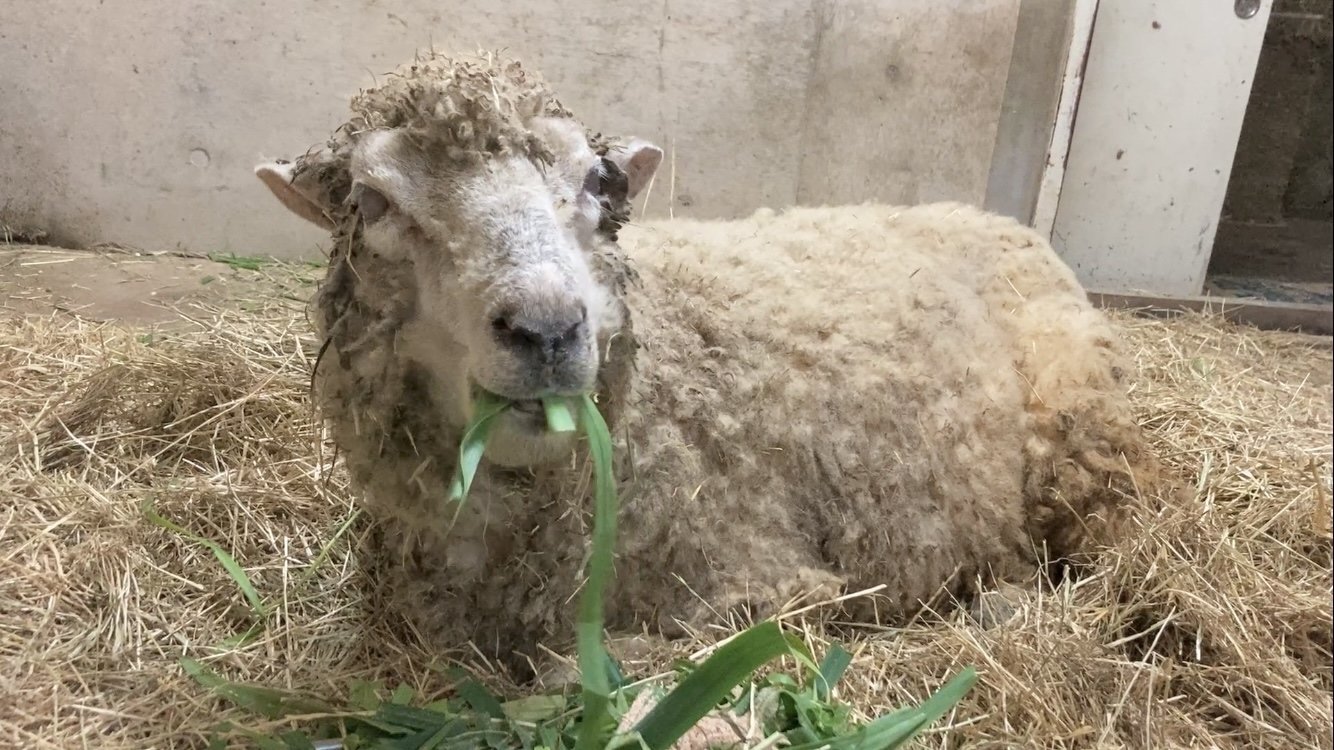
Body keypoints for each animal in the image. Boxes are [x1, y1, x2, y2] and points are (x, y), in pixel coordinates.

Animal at [252, 51, 1168, 672]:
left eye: (596, 186)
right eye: (373, 203)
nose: (547, 329)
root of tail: (991, 215)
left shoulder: (769, 585)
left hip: (1081, 435)